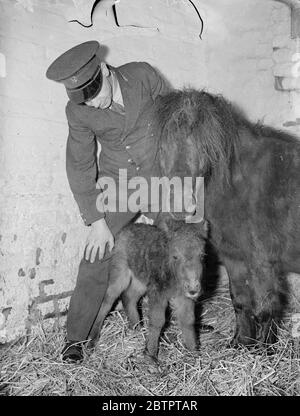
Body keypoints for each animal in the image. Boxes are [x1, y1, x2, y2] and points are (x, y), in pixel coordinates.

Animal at [88, 221, 207, 360]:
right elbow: (157, 321)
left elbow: (188, 320)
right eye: (175, 256)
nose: (193, 287)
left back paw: (136, 328)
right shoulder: (157, 293)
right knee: (106, 302)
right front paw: (150, 355)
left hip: (140, 281)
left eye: (202, 255)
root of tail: (128, 227)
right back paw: (92, 340)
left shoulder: (184, 297)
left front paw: (194, 352)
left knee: (129, 297)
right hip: (119, 274)